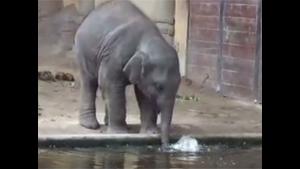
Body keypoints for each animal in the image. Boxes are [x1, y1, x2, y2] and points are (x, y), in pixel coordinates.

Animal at [74, 0, 180, 148]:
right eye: (159, 86)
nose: (166, 146)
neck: (148, 39)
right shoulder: (114, 56)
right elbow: (110, 84)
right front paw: (119, 133)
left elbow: (144, 94)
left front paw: (150, 133)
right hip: (84, 51)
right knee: (90, 82)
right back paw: (90, 126)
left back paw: (108, 123)